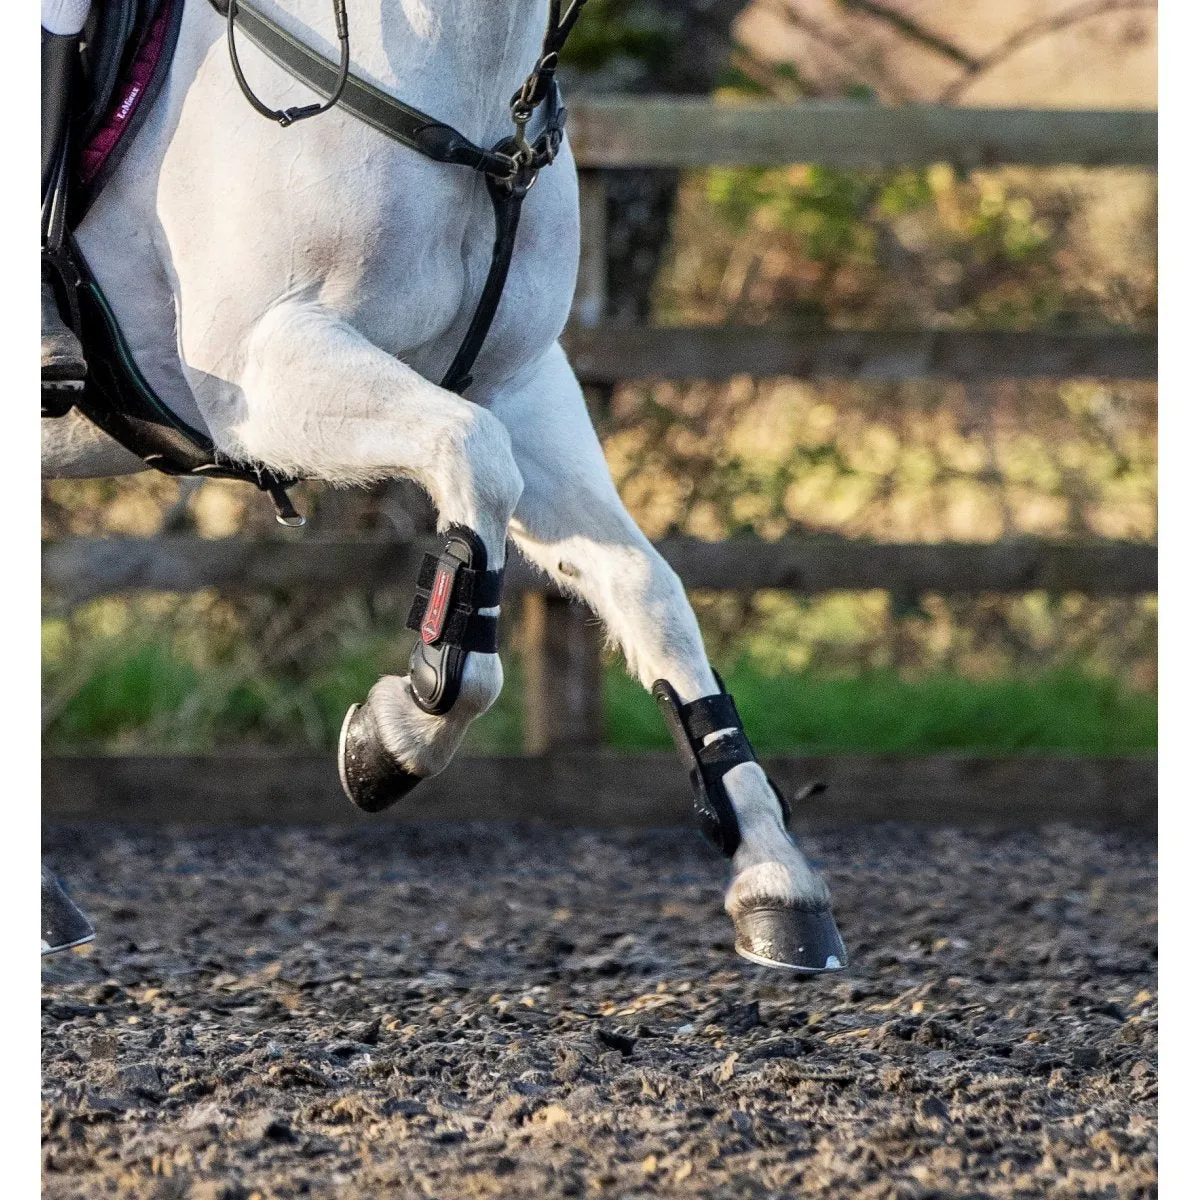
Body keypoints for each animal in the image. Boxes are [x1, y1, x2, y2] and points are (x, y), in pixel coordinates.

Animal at [37, 0, 844, 969]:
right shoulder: (262, 376)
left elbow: (642, 584)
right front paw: (392, 739)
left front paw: (774, 874)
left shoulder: (519, 382)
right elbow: (476, 466)